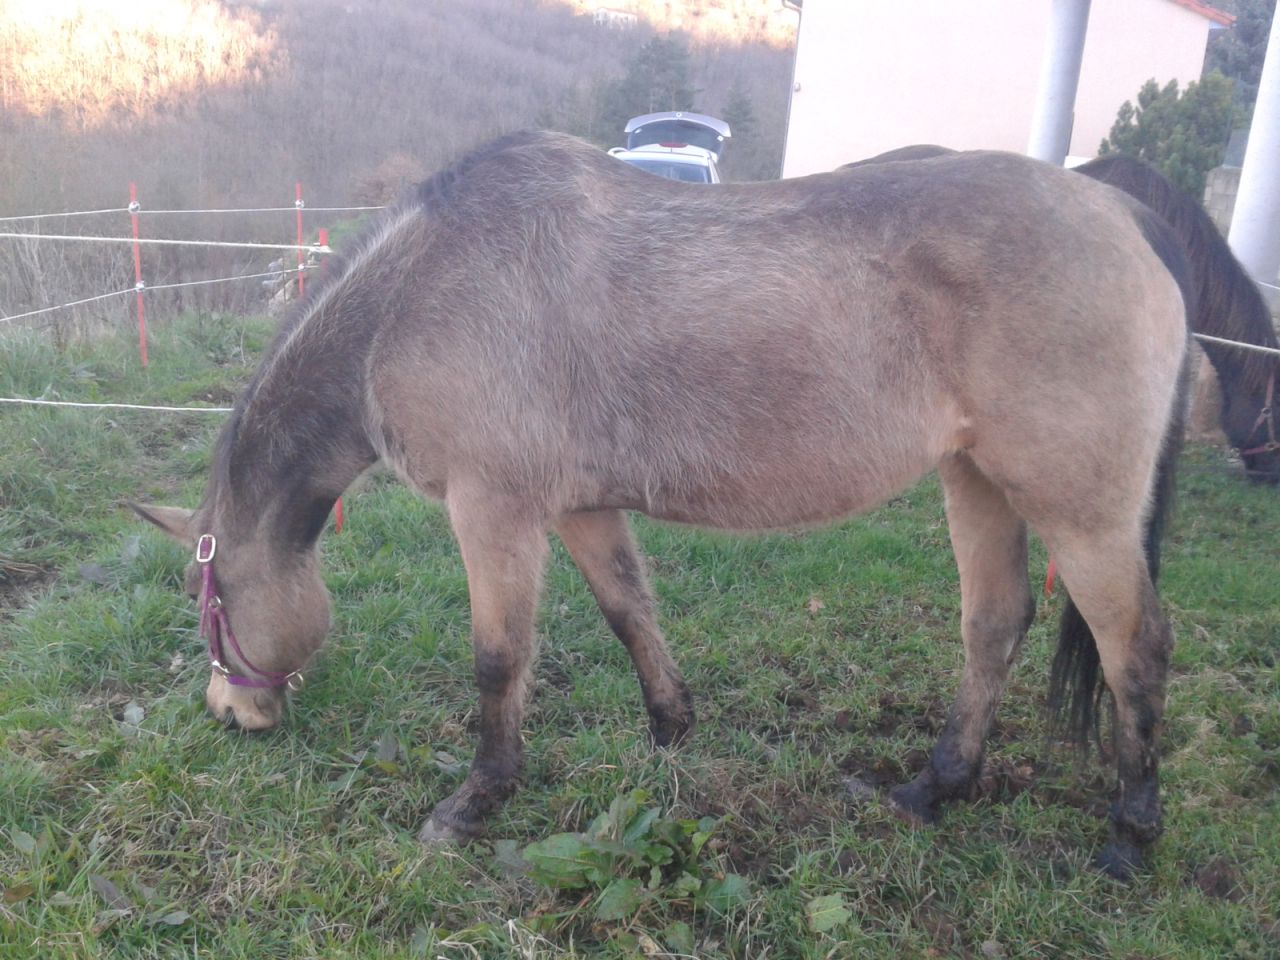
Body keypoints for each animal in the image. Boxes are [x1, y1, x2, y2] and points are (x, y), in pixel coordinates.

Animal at [132, 130, 1193, 879]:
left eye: (204, 598)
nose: (230, 713)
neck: (416, 293)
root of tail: (1121, 212)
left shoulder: (493, 511)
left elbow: (498, 660)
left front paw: (476, 802)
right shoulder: (580, 508)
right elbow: (628, 610)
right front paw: (671, 733)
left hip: (1079, 511)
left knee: (1134, 647)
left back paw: (1130, 834)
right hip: (976, 480)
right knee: (994, 625)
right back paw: (933, 788)